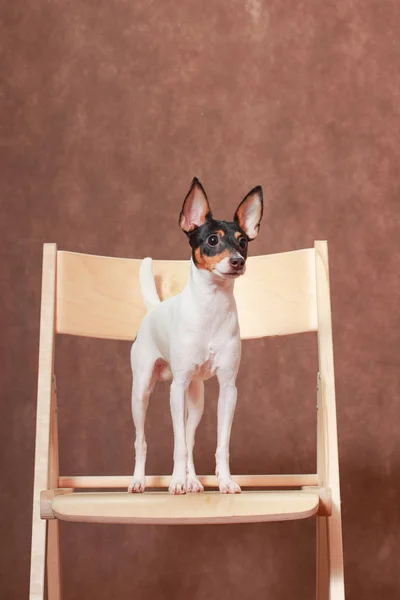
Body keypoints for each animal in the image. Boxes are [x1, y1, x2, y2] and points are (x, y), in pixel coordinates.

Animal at [128, 179, 262, 496]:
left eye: (243, 242)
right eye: (212, 240)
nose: (237, 262)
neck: (211, 307)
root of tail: (154, 308)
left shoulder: (228, 390)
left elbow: (219, 444)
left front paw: (224, 481)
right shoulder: (176, 388)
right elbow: (176, 444)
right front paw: (176, 481)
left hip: (197, 398)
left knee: (189, 440)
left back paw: (192, 480)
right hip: (141, 392)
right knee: (142, 441)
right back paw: (139, 481)